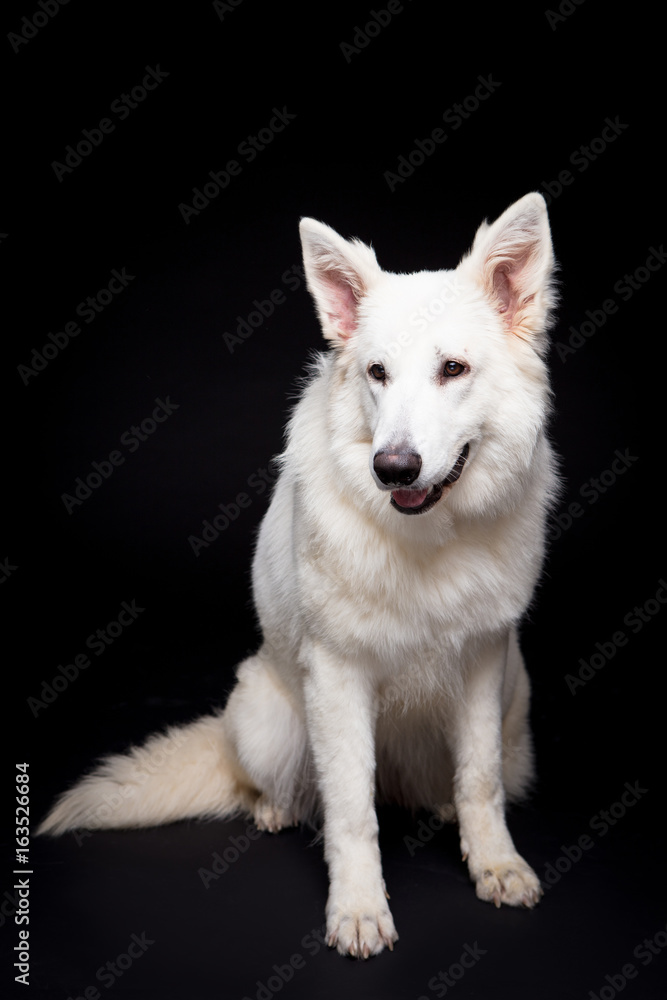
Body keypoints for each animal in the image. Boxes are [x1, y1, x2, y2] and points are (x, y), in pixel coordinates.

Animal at [36, 191, 560, 956]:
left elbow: (480, 782)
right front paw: (359, 909)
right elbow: (350, 812)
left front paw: (493, 864)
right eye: (377, 373)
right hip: (265, 716)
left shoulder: (483, 662)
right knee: (282, 786)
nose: (391, 468)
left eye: (453, 369)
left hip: (514, 694)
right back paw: (272, 809)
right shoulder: (338, 678)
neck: (426, 537)